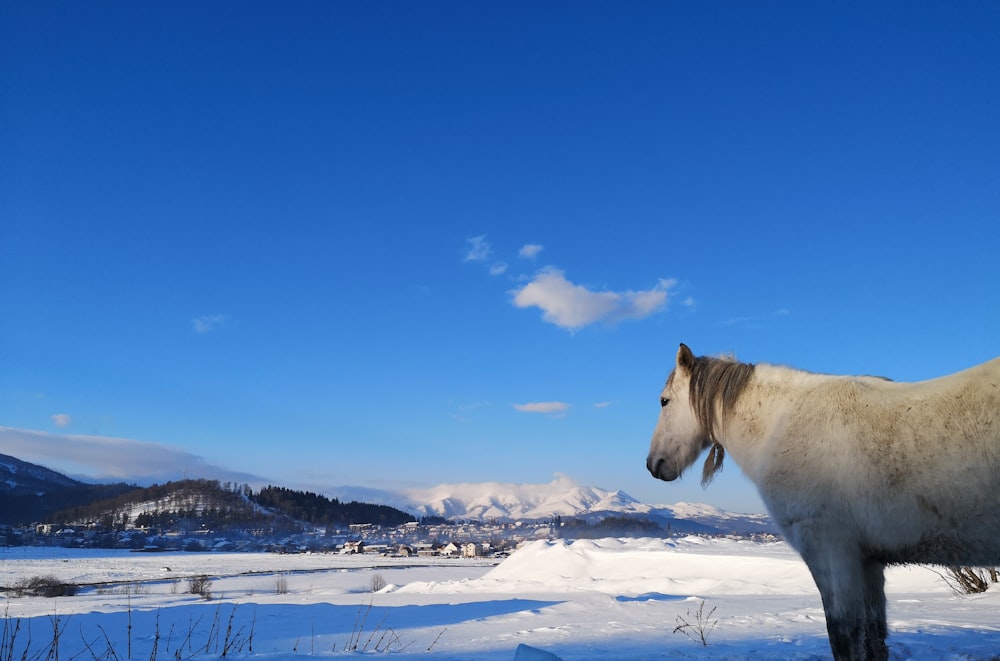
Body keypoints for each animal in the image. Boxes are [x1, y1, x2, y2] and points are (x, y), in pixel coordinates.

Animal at [648, 342, 1000, 660]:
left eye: (664, 401)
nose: (654, 464)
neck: (780, 424)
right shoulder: (868, 562)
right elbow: (875, 638)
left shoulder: (829, 551)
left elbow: (843, 636)